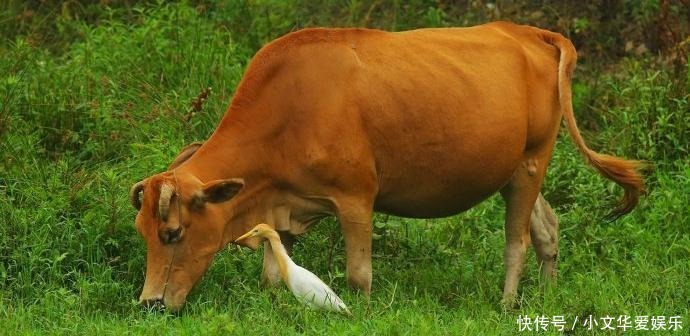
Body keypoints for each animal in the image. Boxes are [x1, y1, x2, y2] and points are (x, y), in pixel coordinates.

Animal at [130, 22, 644, 312]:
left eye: (172, 233)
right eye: (143, 232)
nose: (150, 304)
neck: (289, 107)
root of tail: (528, 32)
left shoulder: (356, 197)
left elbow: (359, 276)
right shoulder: (285, 206)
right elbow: (274, 273)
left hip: (533, 161)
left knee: (515, 241)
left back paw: (506, 305)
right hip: (518, 168)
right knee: (547, 230)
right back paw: (549, 297)